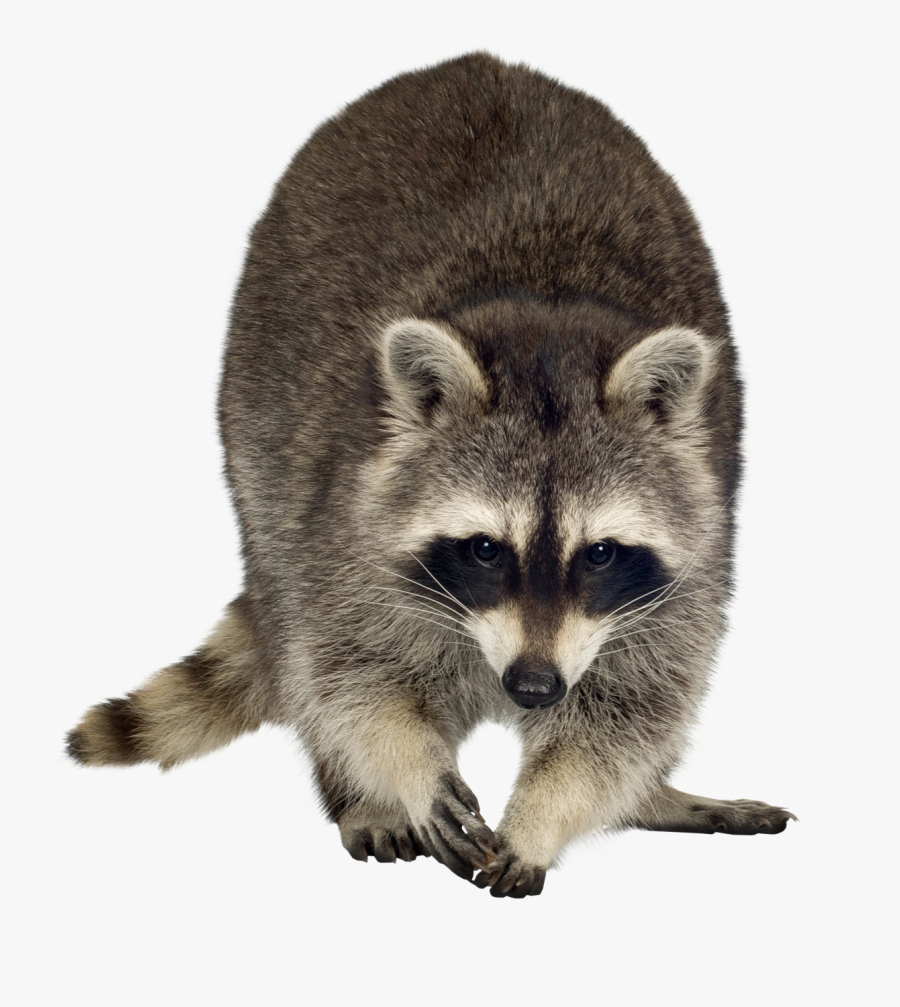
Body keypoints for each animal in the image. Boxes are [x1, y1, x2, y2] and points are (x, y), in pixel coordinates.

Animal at [67, 52, 795, 897]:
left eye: (601, 553)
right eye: (484, 548)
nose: (534, 688)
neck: (545, 316)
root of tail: (472, 67)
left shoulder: (693, 548)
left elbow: (629, 706)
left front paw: (549, 811)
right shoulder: (347, 520)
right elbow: (348, 672)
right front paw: (403, 771)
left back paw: (650, 794)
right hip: (255, 431)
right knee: (290, 614)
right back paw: (356, 792)